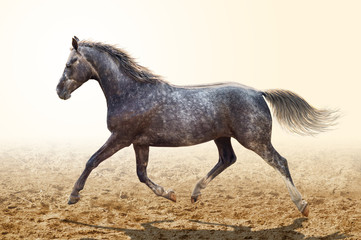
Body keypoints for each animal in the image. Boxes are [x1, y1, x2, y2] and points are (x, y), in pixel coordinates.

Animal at [56, 36, 338, 218]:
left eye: (69, 63)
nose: (59, 91)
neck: (131, 93)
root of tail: (258, 92)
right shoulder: (139, 142)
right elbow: (141, 174)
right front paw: (170, 194)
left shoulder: (121, 137)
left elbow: (92, 161)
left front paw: (73, 196)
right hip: (223, 137)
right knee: (227, 159)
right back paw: (194, 194)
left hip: (255, 140)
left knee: (280, 162)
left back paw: (302, 205)